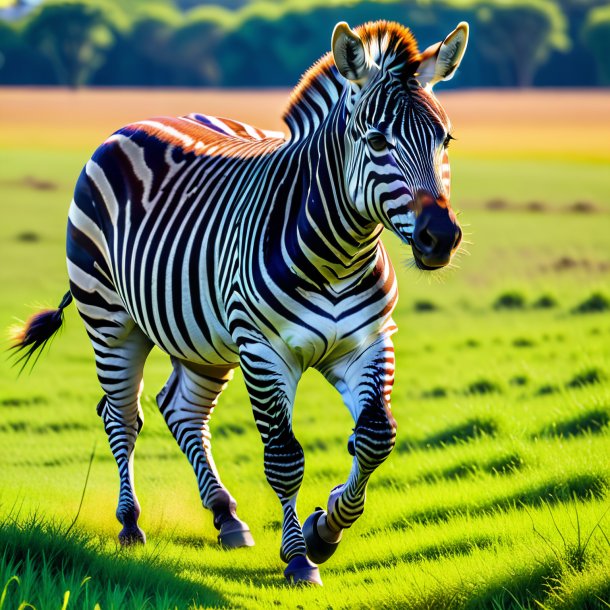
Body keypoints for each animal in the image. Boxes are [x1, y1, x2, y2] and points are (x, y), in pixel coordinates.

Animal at [13, 20, 466, 584]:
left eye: (445, 139)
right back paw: (130, 524)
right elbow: (284, 457)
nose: (440, 238)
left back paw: (226, 515)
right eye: (377, 140)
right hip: (111, 320)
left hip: (201, 338)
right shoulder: (264, 350)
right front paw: (299, 557)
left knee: (180, 409)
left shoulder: (366, 343)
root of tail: (140, 121)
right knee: (121, 417)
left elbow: (375, 438)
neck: (339, 253)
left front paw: (325, 529)